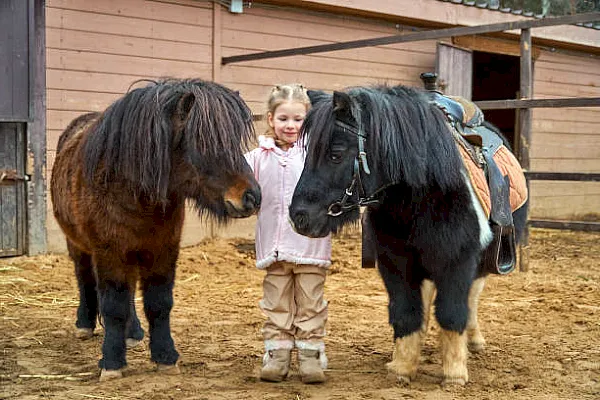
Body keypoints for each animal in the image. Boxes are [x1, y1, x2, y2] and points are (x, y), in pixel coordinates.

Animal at [49, 79, 260, 382]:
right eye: (202, 143)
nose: (252, 197)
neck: (132, 190)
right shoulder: (110, 252)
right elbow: (113, 306)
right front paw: (112, 363)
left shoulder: (162, 250)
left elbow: (159, 303)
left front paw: (165, 357)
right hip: (79, 246)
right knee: (85, 279)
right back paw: (85, 324)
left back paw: (133, 333)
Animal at [288, 85, 528, 388]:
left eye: (336, 154)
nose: (299, 216)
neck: (421, 196)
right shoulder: (395, 262)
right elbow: (406, 311)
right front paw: (402, 366)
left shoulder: (457, 262)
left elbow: (452, 312)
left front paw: (454, 374)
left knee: (472, 297)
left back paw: (473, 341)